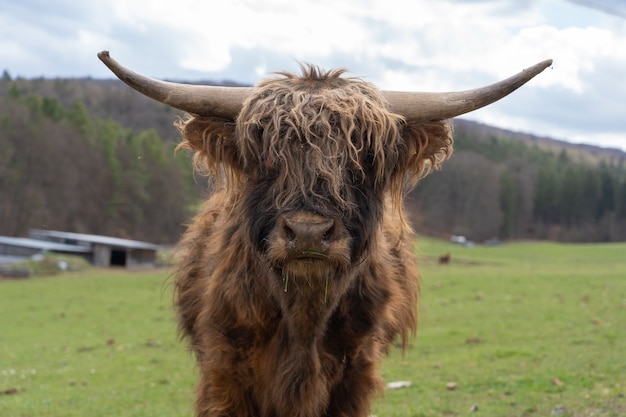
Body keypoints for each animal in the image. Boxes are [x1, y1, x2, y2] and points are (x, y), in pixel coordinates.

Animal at [96, 52, 544, 416]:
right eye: (266, 158)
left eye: (362, 159)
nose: (309, 232)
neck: (303, 321)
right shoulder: (224, 371)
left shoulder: (355, 375)